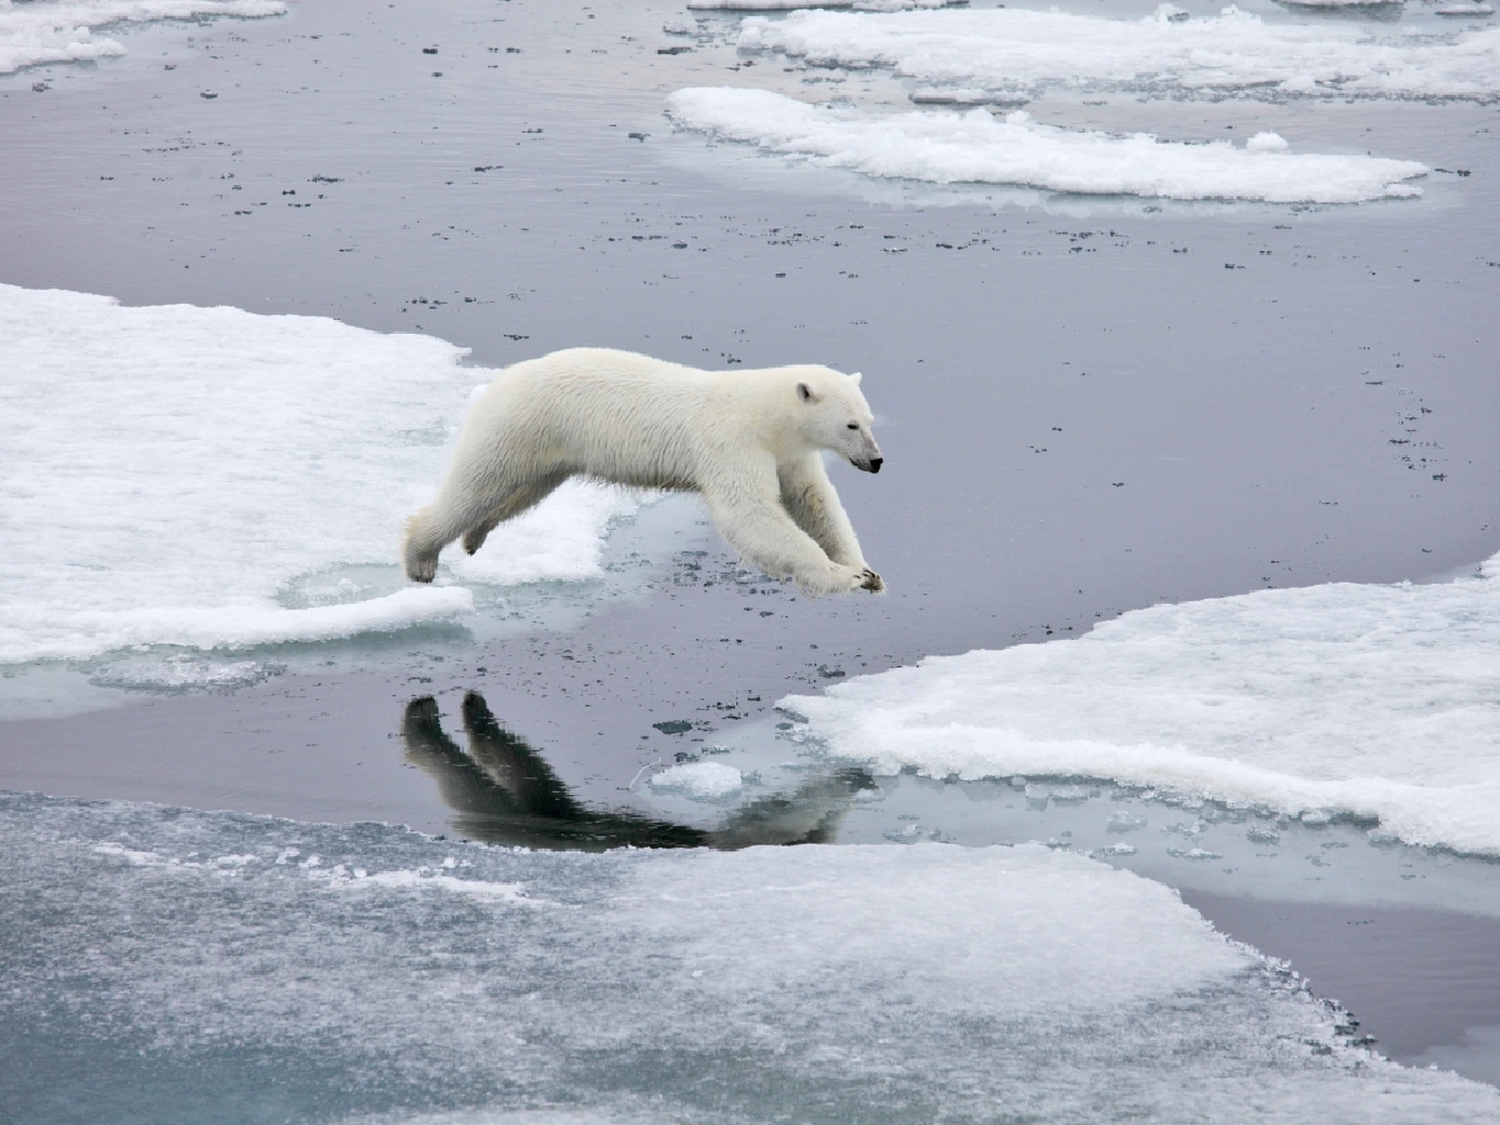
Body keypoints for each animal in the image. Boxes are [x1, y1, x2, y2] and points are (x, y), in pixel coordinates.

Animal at [405, 348, 882, 600]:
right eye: (851, 425)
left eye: (869, 419)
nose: (877, 461)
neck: (765, 414)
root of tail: (500, 380)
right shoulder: (733, 441)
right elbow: (750, 513)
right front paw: (845, 577)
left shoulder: (788, 453)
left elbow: (814, 501)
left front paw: (866, 570)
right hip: (519, 426)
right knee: (476, 484)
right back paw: (421, 558)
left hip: (549, 450)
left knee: (520, 492)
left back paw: (475, 536)